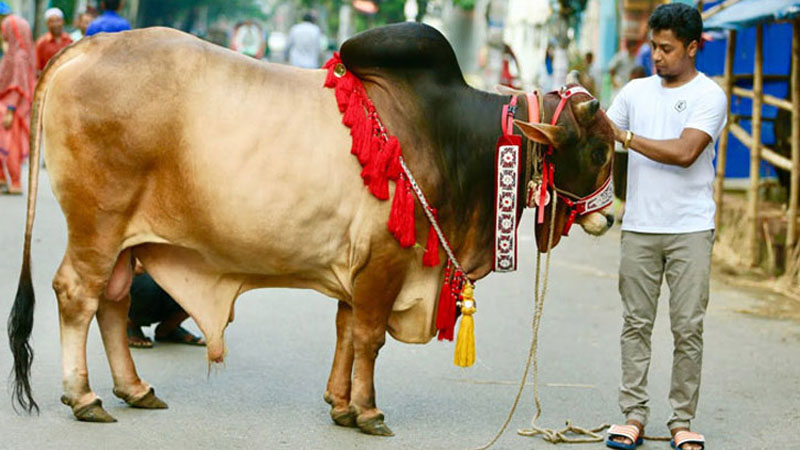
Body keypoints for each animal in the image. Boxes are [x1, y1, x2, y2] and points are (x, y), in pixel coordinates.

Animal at [7, 22, 612, 434]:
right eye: (599, 149)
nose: (607, 215)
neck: (452, 138)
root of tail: (83, 49)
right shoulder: (386, 262)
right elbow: (369, 338)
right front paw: (368, 411)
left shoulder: (359, 268)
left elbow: (346, 331)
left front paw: (340, 404)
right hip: (98, 225)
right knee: (78, 294)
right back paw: (84, 397)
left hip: (124, 241)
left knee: (112, 302)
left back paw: (134, 389)